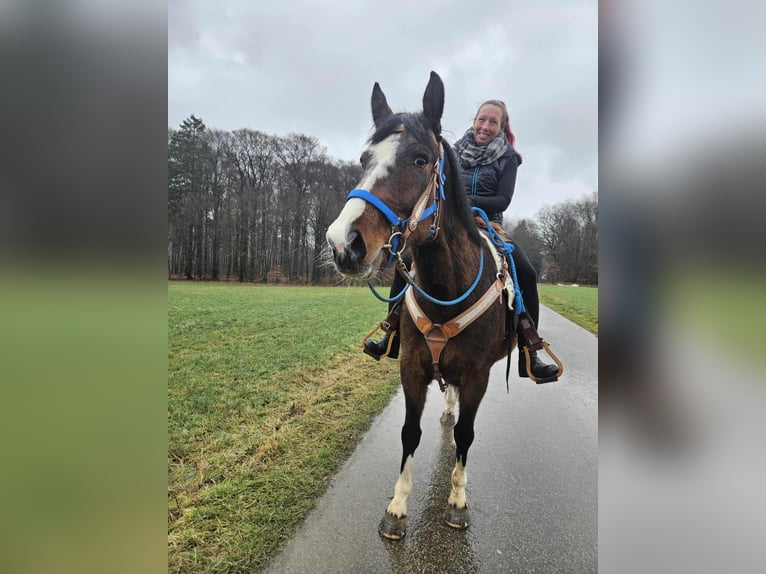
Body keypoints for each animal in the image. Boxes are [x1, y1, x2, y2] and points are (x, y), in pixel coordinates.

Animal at [326, 71, 515, 540]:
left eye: (420, 159)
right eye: (364, 158)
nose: (342, 243)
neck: (447, 288)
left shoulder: (478, 374)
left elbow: (466, 435)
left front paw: (457, 501)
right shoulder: (411, 366)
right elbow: (410, 433)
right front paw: (396, 507)